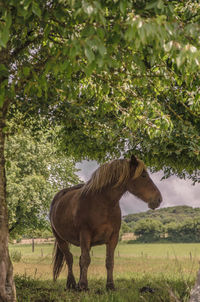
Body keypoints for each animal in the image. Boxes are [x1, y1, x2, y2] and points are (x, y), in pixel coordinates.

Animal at [49, 156, 162, 290]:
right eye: (144, 175)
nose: (159, 199)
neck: (102, 202)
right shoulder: (85, 234)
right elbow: (86, 260)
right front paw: (83, 285)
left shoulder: (113, 237)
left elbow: (109, 261)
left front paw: (110, 285)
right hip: (61, 239)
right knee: (70, 258)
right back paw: (71, 284)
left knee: (79, 259)